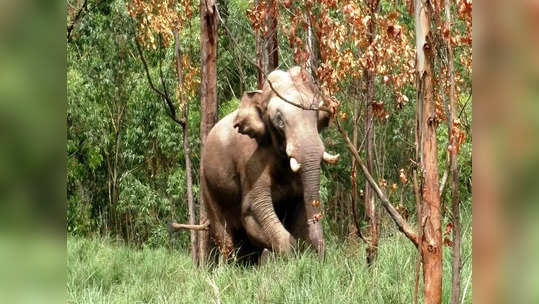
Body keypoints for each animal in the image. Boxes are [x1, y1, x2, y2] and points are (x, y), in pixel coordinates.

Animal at [200, 67, 340, 262]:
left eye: (317, 116)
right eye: (279, 120)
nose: (322, 257)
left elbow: (299, 204)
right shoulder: (251, 160)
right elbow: (253, 208)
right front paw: (290, 258)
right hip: (207, 185)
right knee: (225, 237)